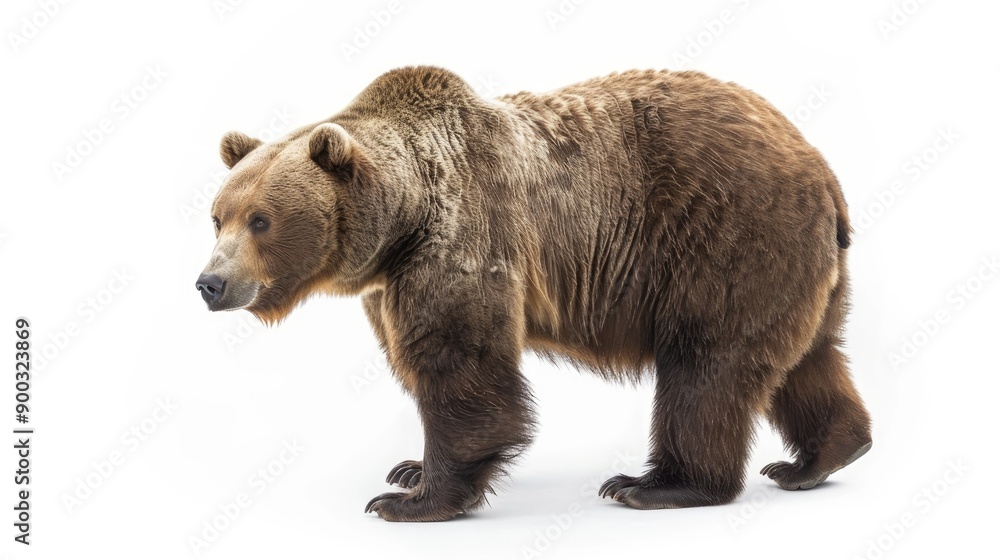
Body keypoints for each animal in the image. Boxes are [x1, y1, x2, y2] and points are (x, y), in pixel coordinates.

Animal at [196, 66, 872, 521]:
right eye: (217, 216)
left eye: (261, 220)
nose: (210, 283)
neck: (401, 222)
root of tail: (822, 169)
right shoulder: (389, 285)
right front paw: (408, 466)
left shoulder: (462, 239)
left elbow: (463, 365)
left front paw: (409, 498)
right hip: (797, 266)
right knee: (806, 357)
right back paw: (818, 458)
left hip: (726, 236)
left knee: (706, 366)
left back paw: (655, 484)